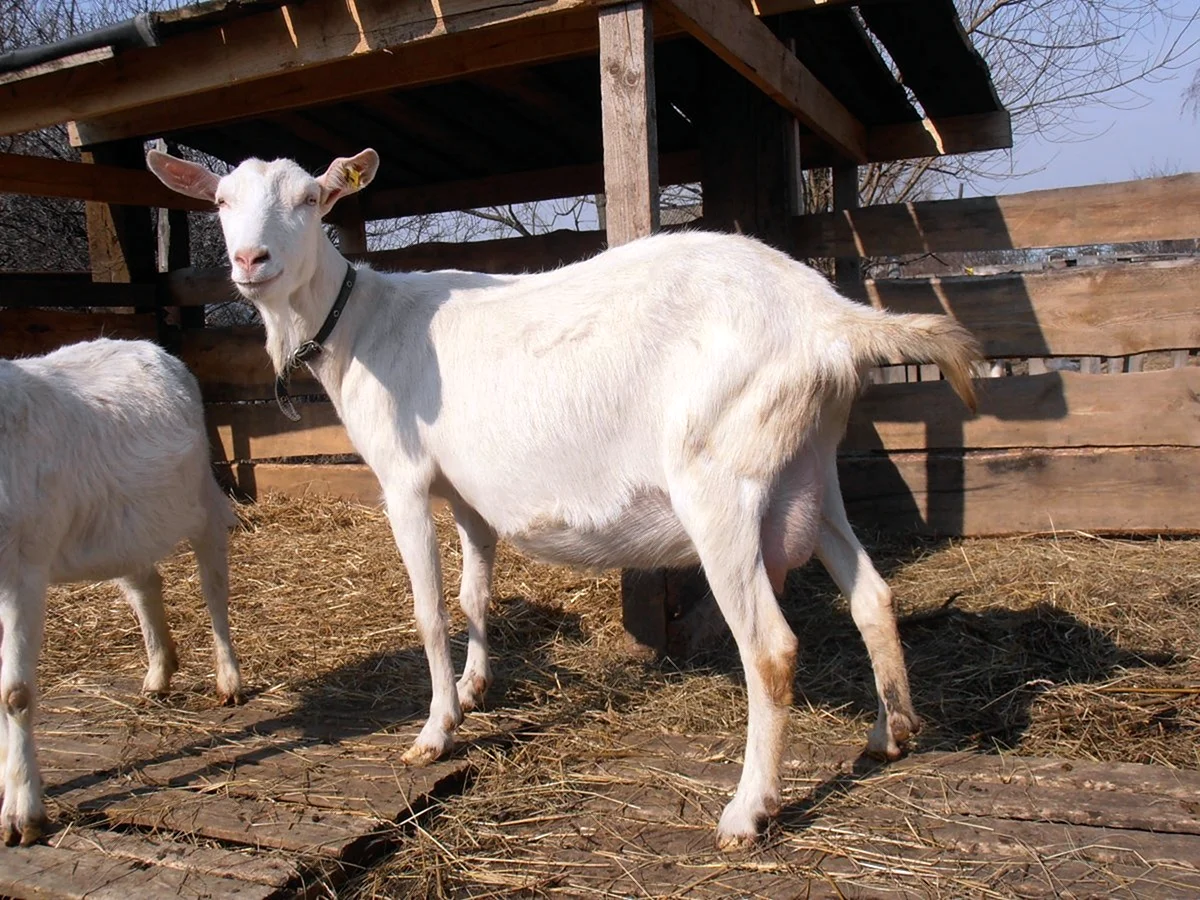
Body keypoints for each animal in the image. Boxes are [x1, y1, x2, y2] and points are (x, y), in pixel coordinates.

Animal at [0, 338, 243, 844]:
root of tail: (149, 347)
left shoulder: (24, 566)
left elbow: (15, 693)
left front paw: (23, 814)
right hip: (122, 528)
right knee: (146, 582)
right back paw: (159, 672)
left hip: (201, 498)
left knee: (215, 585)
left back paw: (228, 679)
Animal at [150, 150, 979, 854]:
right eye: (221, 202)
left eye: (310, 199)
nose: (249, 262)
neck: (360, 325)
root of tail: (828, 318)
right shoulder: (469, 492)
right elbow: (474, 594)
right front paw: (476, 687)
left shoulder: (404, 476)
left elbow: (429, 610)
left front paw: (435, 732)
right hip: (809, 467)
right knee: (873, 594)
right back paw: (891, 732)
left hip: (720, 479)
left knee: (771, 649)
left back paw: (747, 812)